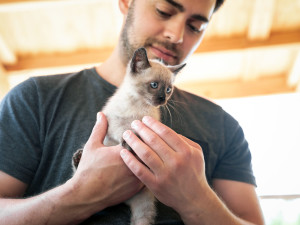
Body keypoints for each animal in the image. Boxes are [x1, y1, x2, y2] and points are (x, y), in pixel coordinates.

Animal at [73, 48, 185, 225]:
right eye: (154, 85)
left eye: (168, 89)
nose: (162, 99)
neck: (140, 105)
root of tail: (126, 200)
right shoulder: (113, 123)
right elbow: (124, 130)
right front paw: (128, 140)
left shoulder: (146, 124)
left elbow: (133, 130)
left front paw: (131, 141)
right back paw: (78, 157)